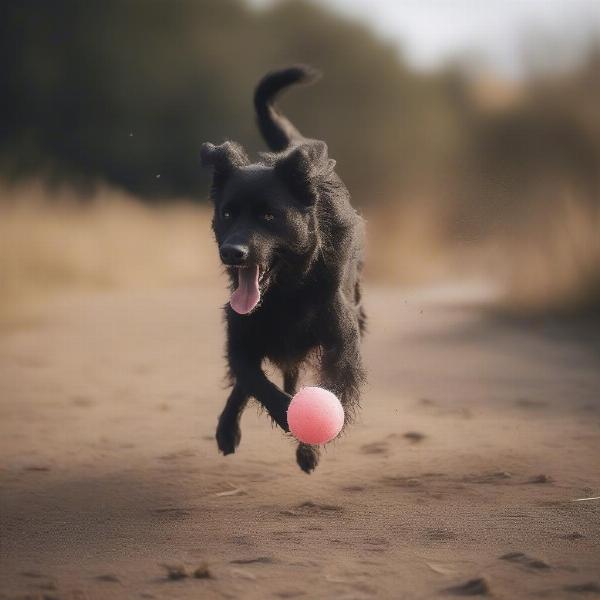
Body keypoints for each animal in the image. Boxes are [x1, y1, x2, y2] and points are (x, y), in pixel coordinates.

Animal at [202, 63, 366, 472]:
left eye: (268, 216)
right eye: (227, 213)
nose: (232, 252)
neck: (287, 293)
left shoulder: (343, 348)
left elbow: (334, 392)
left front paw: (311, 440)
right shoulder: (241, 340)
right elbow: (257, 383)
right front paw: (291, 420)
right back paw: (228, 429)